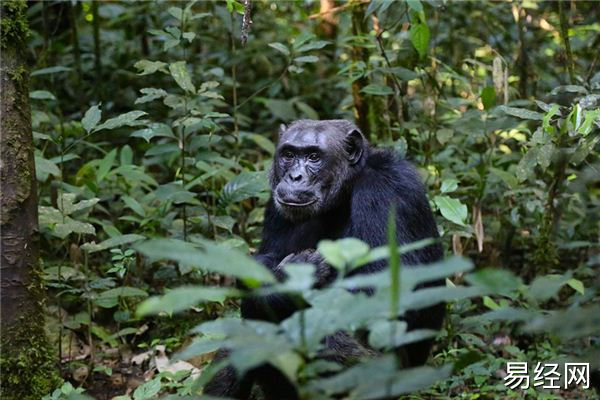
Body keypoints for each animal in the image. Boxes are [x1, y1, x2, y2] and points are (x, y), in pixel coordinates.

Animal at [204, 120, 442, 398]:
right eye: (288, 154)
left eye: (314, 157)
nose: (294, 177)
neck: (346, 190)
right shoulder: (275, 205)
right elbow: (263, 262)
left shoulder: (388, 191)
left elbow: (385, 291)